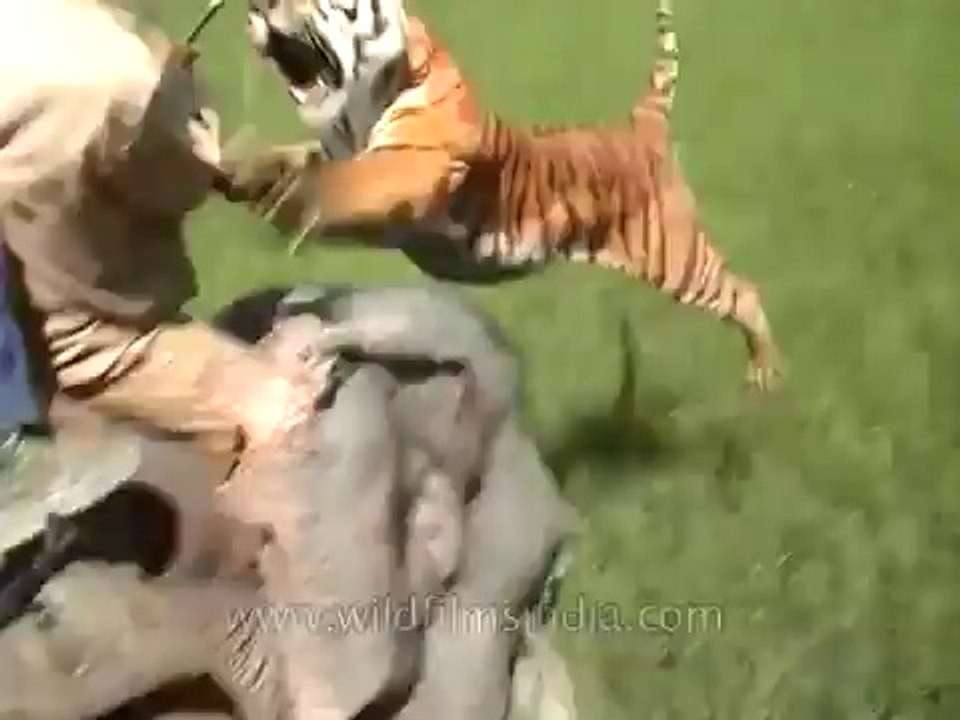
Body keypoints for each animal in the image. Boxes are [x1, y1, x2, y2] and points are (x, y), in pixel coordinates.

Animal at [227, 0, 782, 391]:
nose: (257, 4)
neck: (357, 105)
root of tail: (641, 123)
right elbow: (290, 163)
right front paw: (237, 162)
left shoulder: (408, 165)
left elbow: (337, 184)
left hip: (677, 257)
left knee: (744, 291)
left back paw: (765, 374)